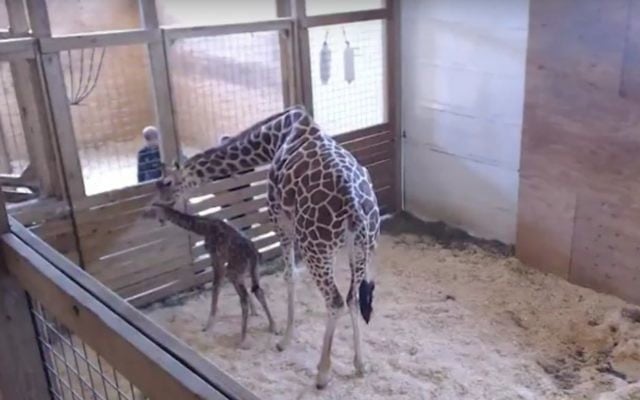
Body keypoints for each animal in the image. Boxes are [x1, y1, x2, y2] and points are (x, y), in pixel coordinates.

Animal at [143, 202, 277, 348]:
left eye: (151, 210)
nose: (142, 215)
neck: (203, 228)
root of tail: (253, 254)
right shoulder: (230, 263)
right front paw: (255, 312)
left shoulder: (216, 256)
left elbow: (216, 287)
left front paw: (208, 326)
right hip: (252, 269)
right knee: (258, 291)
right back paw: (273, 327)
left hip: (233, 271)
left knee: (244, 297)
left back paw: (242, 340)